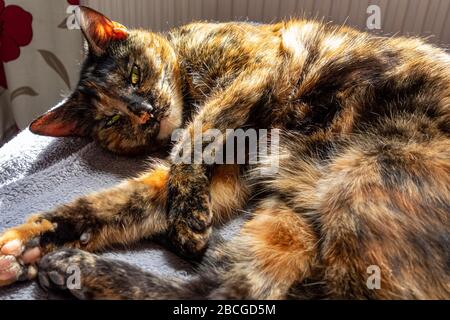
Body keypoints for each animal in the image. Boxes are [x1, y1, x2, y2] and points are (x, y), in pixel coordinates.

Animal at [0, 6, 450, 298]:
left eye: (134, 75)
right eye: (111, 119)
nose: (146, 112)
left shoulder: (253, 67)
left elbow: (191, 142)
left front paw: (186, 219)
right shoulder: (224, 181)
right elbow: (115, 203)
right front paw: (25, 244)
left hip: (366, 177)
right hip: (291, 213)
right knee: (229, 289)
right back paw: (71, 269)